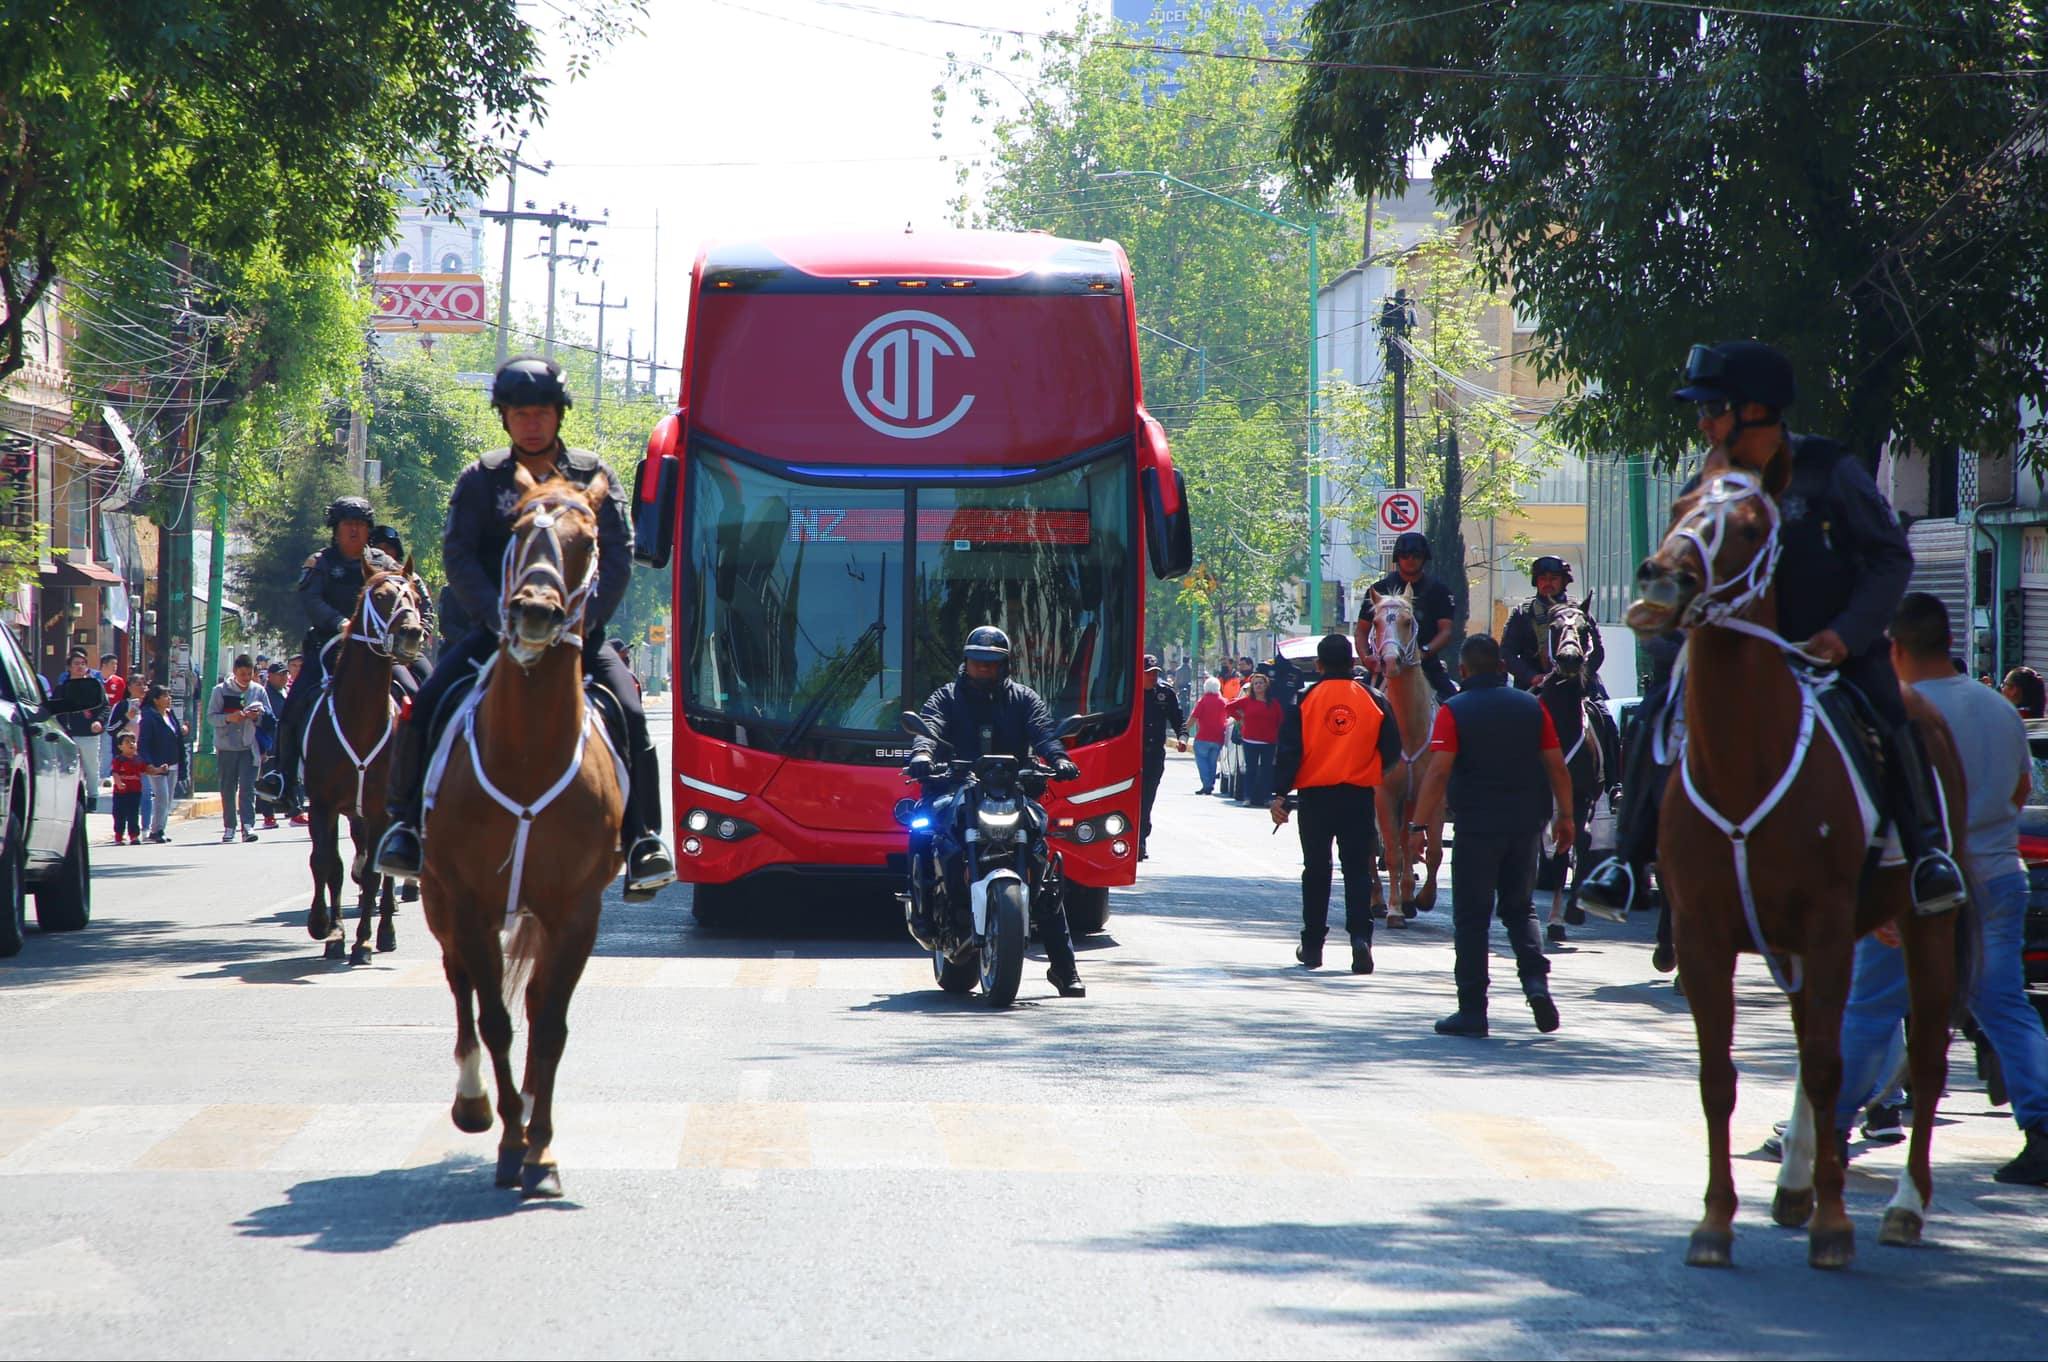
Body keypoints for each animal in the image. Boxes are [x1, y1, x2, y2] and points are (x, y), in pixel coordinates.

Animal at [303, 557, 423, 962]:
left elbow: (373, 873)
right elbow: (327, 864)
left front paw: (365, 941)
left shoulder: (379, 810)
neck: (360, 720)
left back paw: (385, 932)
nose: (411, 634)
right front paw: (327, 928)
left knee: (381, 869)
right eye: (381, 596)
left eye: (415, 595)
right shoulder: (322, 804)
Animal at [421, 471, 622, 1204]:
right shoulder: (471, 903)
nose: (535, 612)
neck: (531, 749)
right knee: (460, 985)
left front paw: (542, 1148)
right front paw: (510, 1141)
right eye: (514, 531)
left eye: (586, 539)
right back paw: (475, 1101)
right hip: (438, 900)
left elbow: (549, 1024)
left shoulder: (576, 912)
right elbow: (496, 1020)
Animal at [1630, 466, 1966, 1261]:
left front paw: (1835, 1226)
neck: (1746, 760)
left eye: (1753, 527)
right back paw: (1794, 1185)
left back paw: (1904, 1206)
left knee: (1925, 1053)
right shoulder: (1702, 933)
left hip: (1923, 925)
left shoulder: (1827, 925)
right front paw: (1716, 1221)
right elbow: (1718, 1075)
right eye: (1682, 505)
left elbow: (1827, 1064)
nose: (1660, 578)